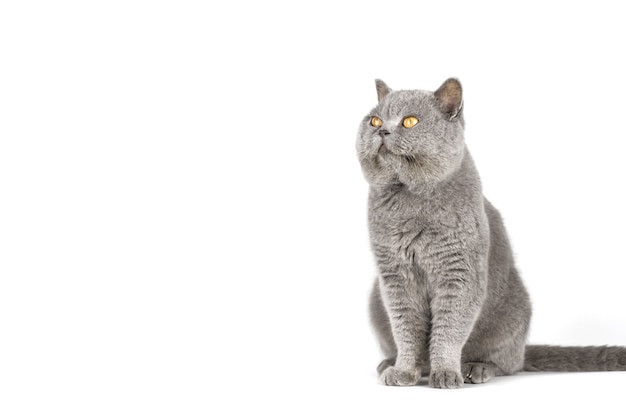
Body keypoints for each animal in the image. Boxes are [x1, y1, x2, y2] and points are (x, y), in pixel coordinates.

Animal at [356, 78, 624, 386]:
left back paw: (476, 368)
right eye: (374, 120)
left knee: (507, 363)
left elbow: (449, 329)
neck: (410, 200)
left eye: (410, 121)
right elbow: (406, 330)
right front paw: (403, 371)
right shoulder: (395, 277)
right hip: (375, 299)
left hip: (515, 310)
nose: (382, 130)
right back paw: (392, 363)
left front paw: (445, 373)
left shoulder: (459, 273)